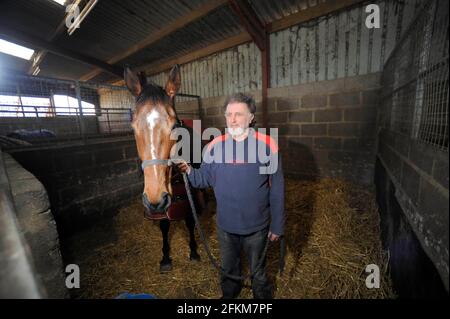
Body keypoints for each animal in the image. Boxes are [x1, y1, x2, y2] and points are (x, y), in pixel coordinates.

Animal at [125, 65, 206, 272]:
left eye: (173, 125)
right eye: (133, 126)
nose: (154, 198)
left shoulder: (187, 196)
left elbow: (190, 220)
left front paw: (194, 251)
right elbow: (164, 225)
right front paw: (165, 257)